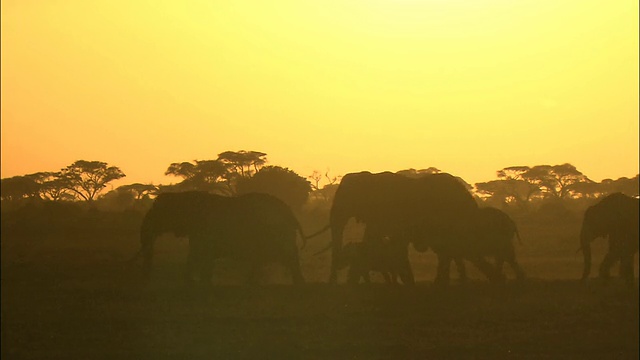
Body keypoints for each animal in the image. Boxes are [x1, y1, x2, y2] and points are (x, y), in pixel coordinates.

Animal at [131, 191, 306, 284]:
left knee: (288, 257)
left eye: (158, 211)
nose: (145, 280)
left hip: (278, 233)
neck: (185, 196)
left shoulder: (205, 231)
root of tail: (291, 213)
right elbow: (195, 256)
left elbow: (201, 257)